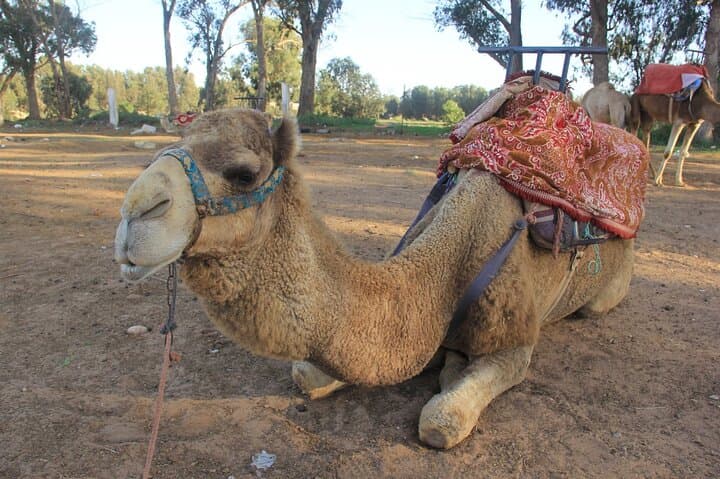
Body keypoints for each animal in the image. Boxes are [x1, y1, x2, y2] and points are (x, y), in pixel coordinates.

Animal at [114, 108, 636, 449]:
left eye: (243, 172)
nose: (136, 212)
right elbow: (307, 373)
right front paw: (445, 365)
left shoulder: (516, 338)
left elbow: (440, 422)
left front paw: (449, 378)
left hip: (608, 288)